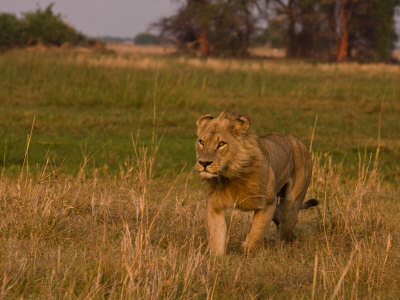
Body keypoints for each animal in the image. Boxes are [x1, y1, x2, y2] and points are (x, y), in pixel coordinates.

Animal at [195, 110, 318, 255]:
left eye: (221, 144)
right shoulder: (215, 204)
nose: (204, 163)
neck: (231, 174)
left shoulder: (267, 203)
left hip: (291, 205)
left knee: (286, 226)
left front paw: (248, 249)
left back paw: (285, 246)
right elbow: (217, 234)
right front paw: (216, 257)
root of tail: (299, 141)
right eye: (201, 142)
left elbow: (257, 231)